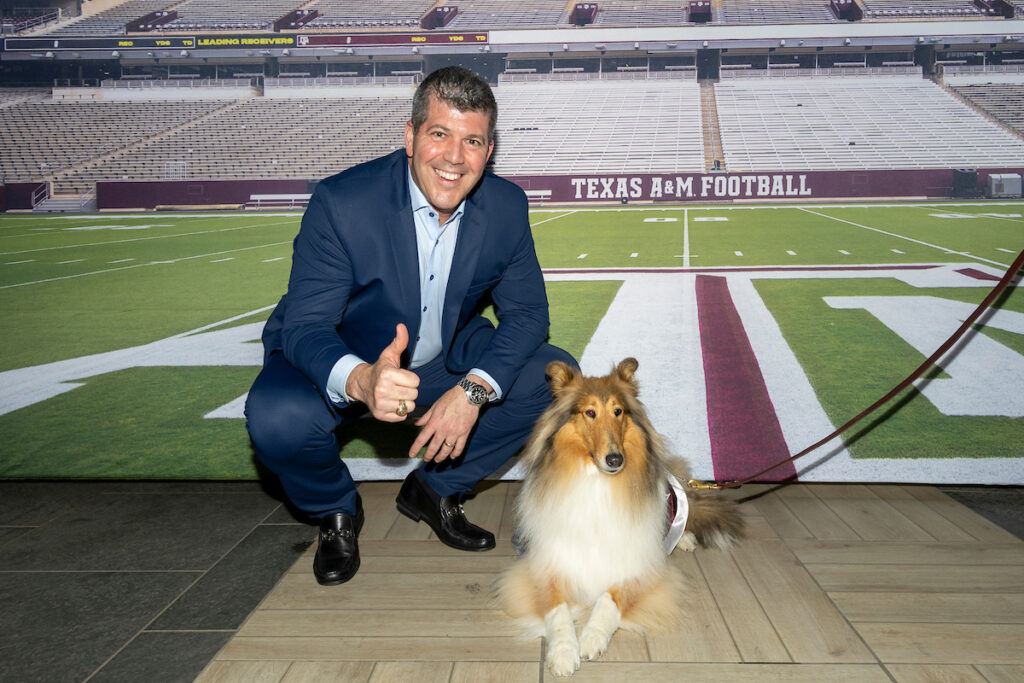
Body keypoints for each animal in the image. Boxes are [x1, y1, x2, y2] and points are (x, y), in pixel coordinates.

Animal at [497, 360, 745, 675]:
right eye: (589, 412)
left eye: (618, 411)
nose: (615, 460)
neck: (596, 482)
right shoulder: (546, 568)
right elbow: (558, 611)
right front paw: (564, 652)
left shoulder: (637, 566)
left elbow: (608, 600)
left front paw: (591, 638)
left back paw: (685, 539)